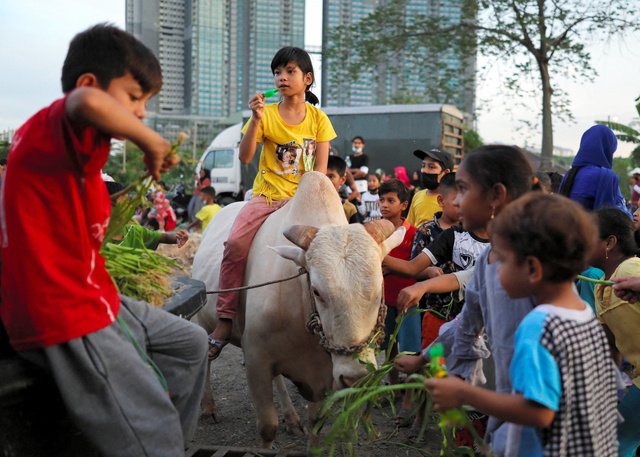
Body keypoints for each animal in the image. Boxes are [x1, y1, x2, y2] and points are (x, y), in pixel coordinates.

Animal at [190, 170, 402, 446]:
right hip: (204, 323)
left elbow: (316, 423)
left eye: (379, 289)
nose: (356, 377)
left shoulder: (324, 375)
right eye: (317, 291)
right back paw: (208, 407)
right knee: (206, 357)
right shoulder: (257, 361)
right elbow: (267, 427)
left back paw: (291, 418)